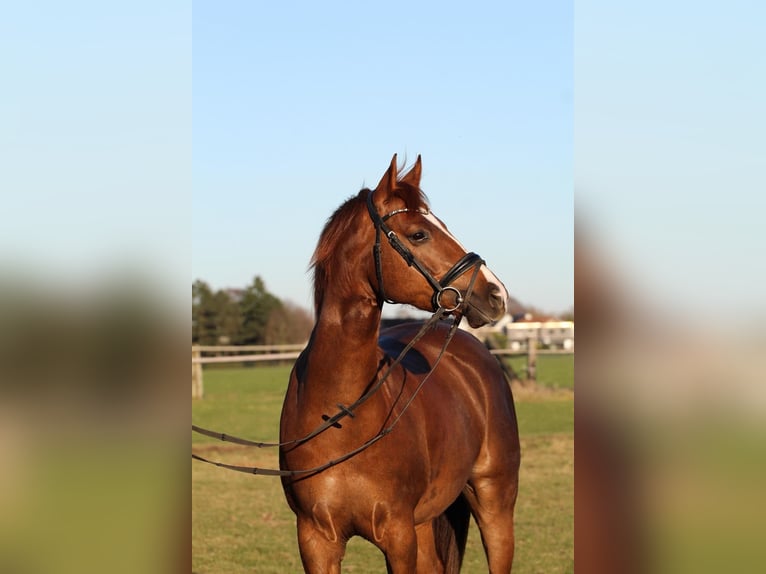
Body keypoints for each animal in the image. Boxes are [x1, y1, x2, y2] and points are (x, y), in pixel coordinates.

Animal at [279, 155, 520, 573]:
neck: (340, 415)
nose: (496, 293)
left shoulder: (397, 536)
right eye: (419, 234)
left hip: (494, 506)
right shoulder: (315, 540)